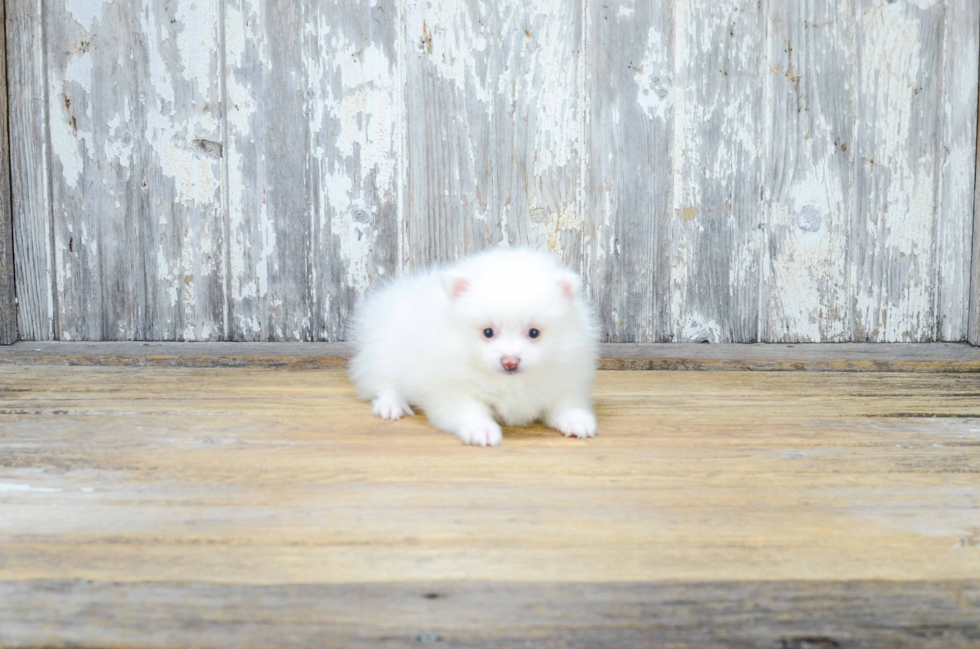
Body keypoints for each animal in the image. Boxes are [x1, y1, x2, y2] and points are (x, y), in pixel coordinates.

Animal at [348, 248, 600, 446]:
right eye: (488, 332)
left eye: (534, 333)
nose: (510, 362)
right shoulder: (451, 391)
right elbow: (470, 410)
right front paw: (483, 430)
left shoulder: (564, 381)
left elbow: (566, 405)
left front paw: (577, 420)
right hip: (382, 354)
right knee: (383, 383)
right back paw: (391, 406)